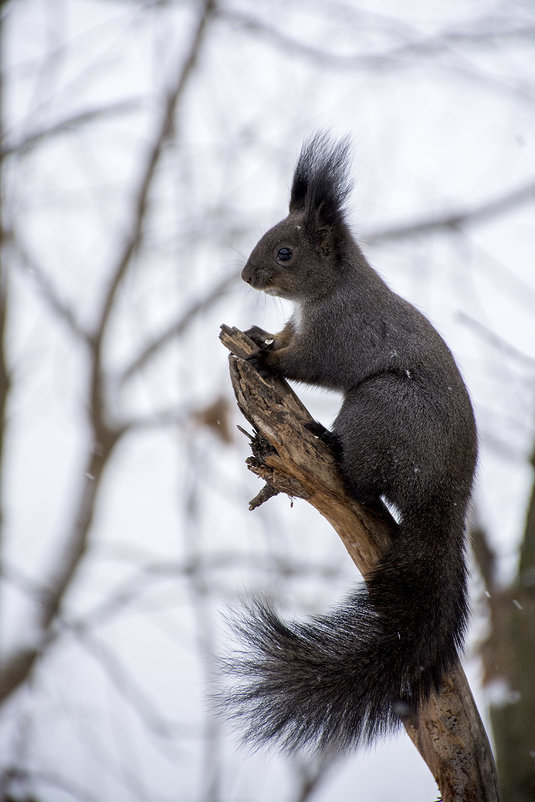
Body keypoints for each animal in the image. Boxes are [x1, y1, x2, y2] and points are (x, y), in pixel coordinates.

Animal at [228, 131, 480, 752]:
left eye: (285, 253)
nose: (246, 277)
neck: (330, 291)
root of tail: (445, 499)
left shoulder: (339, 335)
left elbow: (309, 362)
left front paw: (265, 357)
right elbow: (285, 336)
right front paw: (261, 335)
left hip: (381, 409)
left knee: (365, 485)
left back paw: (330, 445)